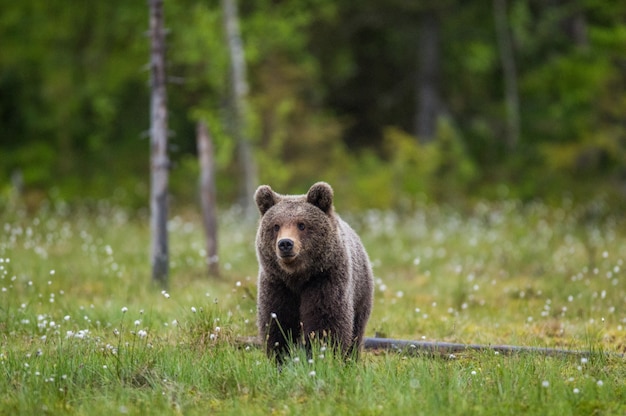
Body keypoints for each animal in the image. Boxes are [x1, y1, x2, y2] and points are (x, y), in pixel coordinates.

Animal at [252, 181, 370, 360]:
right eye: (276, 226)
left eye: (302, 224)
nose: (285, 243)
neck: (297, 276)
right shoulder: (277, 283)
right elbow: (278, 322)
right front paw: (281, 357)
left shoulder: (325, 279)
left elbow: (326, 322)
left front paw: (323, 355)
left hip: (361, 291)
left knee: (357, 329)